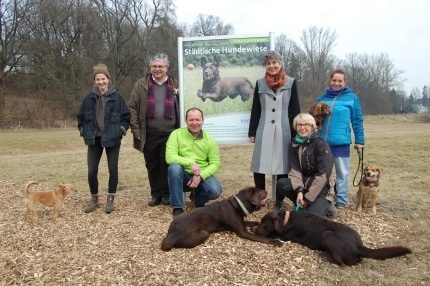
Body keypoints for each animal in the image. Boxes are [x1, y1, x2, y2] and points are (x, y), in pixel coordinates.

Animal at [254, 210, 412, 266]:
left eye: (264, 225)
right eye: (260, 223)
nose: (255, 230)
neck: (286, 219)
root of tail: (359, 247)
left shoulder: (284, 235)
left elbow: (274, 234)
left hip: (327, 235)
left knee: (340, 262)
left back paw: (323, 255)